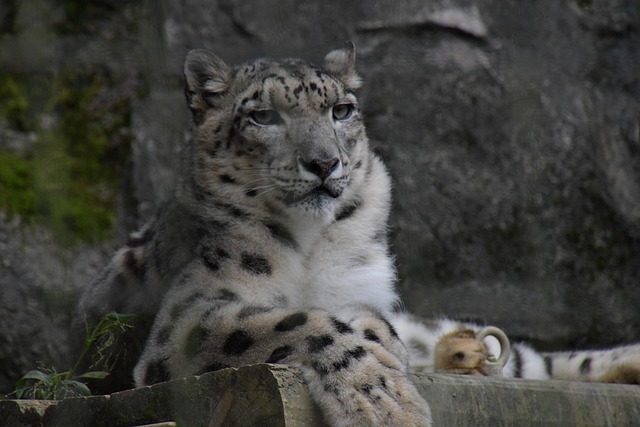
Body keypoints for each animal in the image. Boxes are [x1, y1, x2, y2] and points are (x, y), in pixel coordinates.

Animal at [75, 42, 640, 427]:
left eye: (340, 110)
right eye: (264, 116)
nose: (324, 163)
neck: (309, 243)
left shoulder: (362, 291)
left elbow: (371, 322)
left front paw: (389, 362)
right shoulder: (188, 319)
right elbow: (297, 321)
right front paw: (383, 401)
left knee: (530, 358)